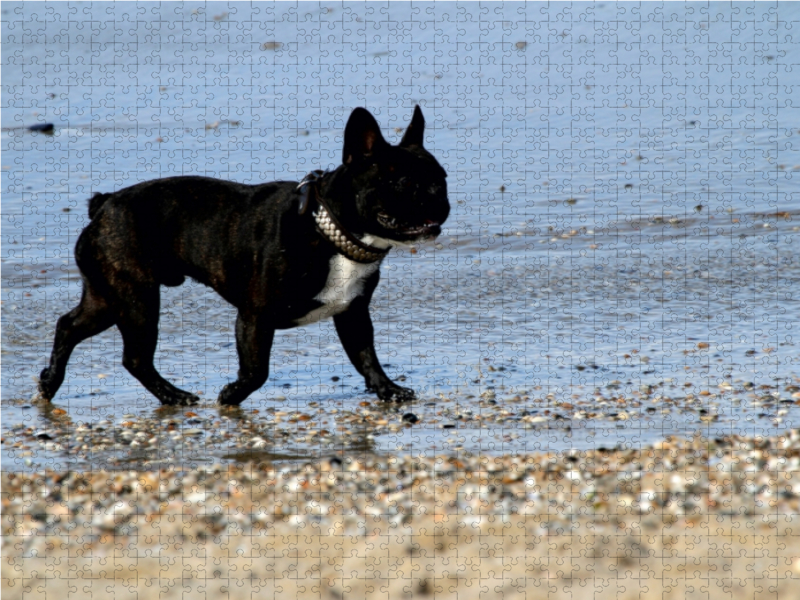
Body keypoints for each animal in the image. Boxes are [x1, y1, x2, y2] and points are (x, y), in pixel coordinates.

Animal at [39, 108, 450, 408]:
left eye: (441, 178)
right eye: (403, 183)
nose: (438, 197)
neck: (328, 228)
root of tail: (104, 205)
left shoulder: (353, 312)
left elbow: (366, 355)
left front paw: (388, 389)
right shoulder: (255, 316)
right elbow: (257, 369)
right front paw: (232, 395)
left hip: (107, 297)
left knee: (69, 325)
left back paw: (49, 382)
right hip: (135, 298)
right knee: (135, 357)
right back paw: (174, 396)